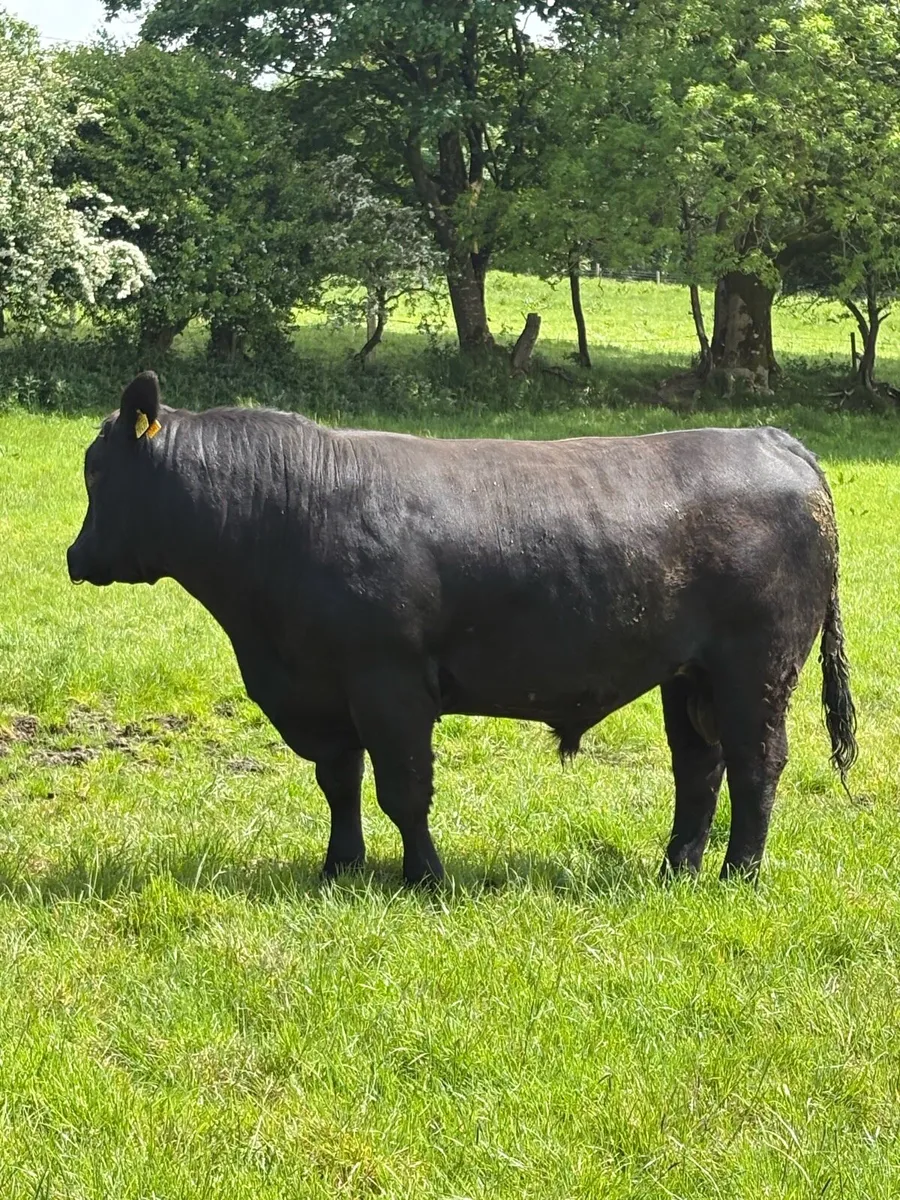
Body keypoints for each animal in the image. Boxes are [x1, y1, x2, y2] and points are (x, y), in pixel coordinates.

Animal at [67, 371, 857, 885]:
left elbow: (403, 788)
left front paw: (425, 877)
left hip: (757, 667)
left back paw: (738, 875)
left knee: (757, 764)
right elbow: (339, 782)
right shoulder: (322, 692)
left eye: (97, 471)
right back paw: (676, 870)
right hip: (688, 676)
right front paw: (339, 868)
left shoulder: (388, 683)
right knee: (699, 768)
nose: (75, 557)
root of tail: (772, 439)